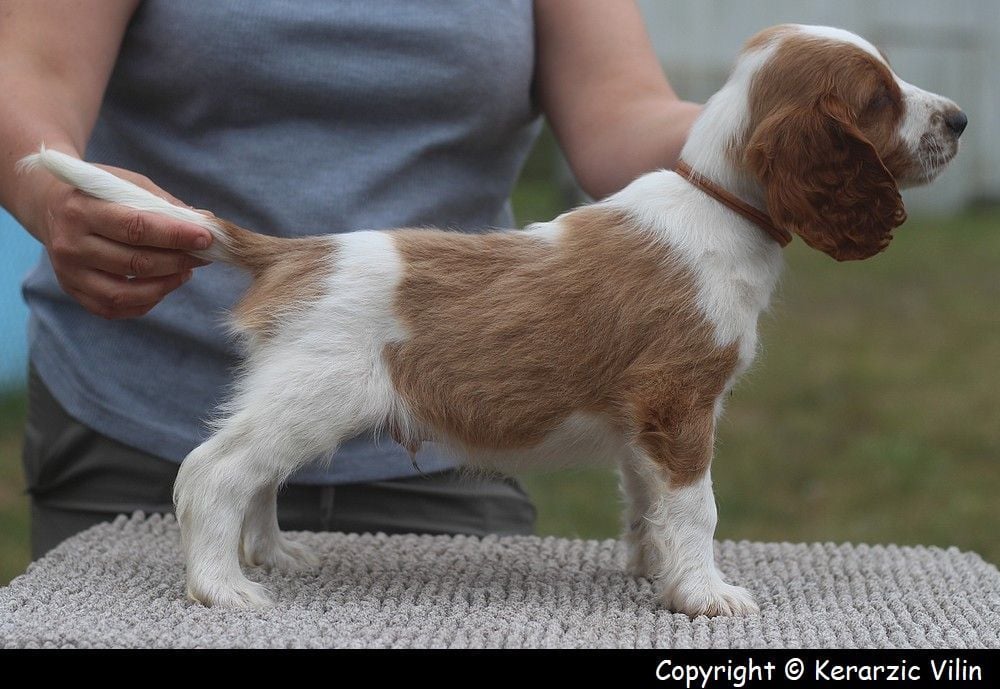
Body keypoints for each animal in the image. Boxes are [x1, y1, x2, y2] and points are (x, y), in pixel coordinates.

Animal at [19, 22, 964, 612]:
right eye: (879, 99)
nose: (958, 118)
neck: (718, 200)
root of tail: (298, 252)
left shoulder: (642, 422)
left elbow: (643, 499)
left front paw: (652, 569)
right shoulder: (680, 402)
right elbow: (695, 505)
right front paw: (704, 593)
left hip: (288, 392)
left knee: (254, 475)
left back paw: (273, 554)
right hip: (314, 393)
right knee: (213, 472)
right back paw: (224, 587)